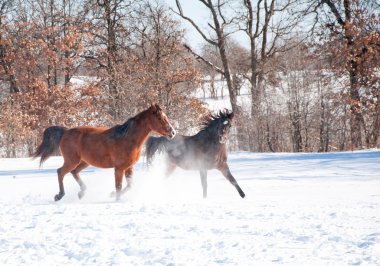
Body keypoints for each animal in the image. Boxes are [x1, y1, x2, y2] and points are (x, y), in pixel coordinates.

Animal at [32, 103, 175, 201]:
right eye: (160, 118)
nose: (172, 132)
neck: (127, 138)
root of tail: (65, 131)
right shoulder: (119, 168)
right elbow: (119, 186)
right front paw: (116, 199)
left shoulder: (129, 167)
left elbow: (129, 186)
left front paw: (112, 195)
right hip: (72, 160)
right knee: (60, 172)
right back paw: (59, 195)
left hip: (84, 162)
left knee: (74, 172)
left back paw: (82, 193)